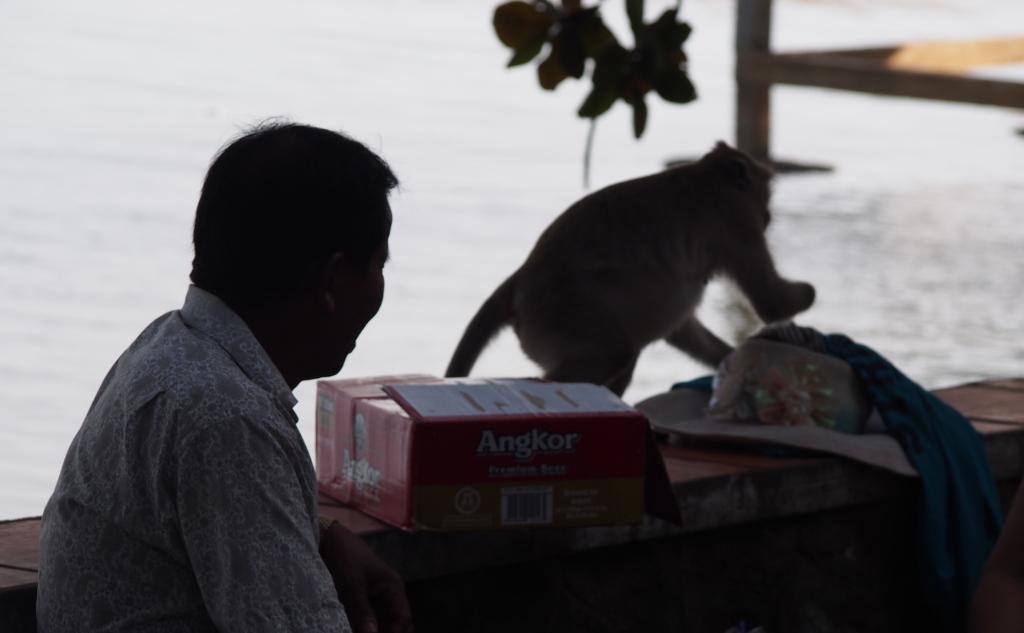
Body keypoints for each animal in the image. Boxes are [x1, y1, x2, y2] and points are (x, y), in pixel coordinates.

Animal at [444, 141, 811, 393]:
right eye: (764, 202)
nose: (768, 217)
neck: (705, 175)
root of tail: (520, 278)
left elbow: (682, 328)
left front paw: (739, 356)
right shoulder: (737, 221)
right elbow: (771, 302)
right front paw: (801, 303)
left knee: (624, 356)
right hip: (560, 312)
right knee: (613, 354)